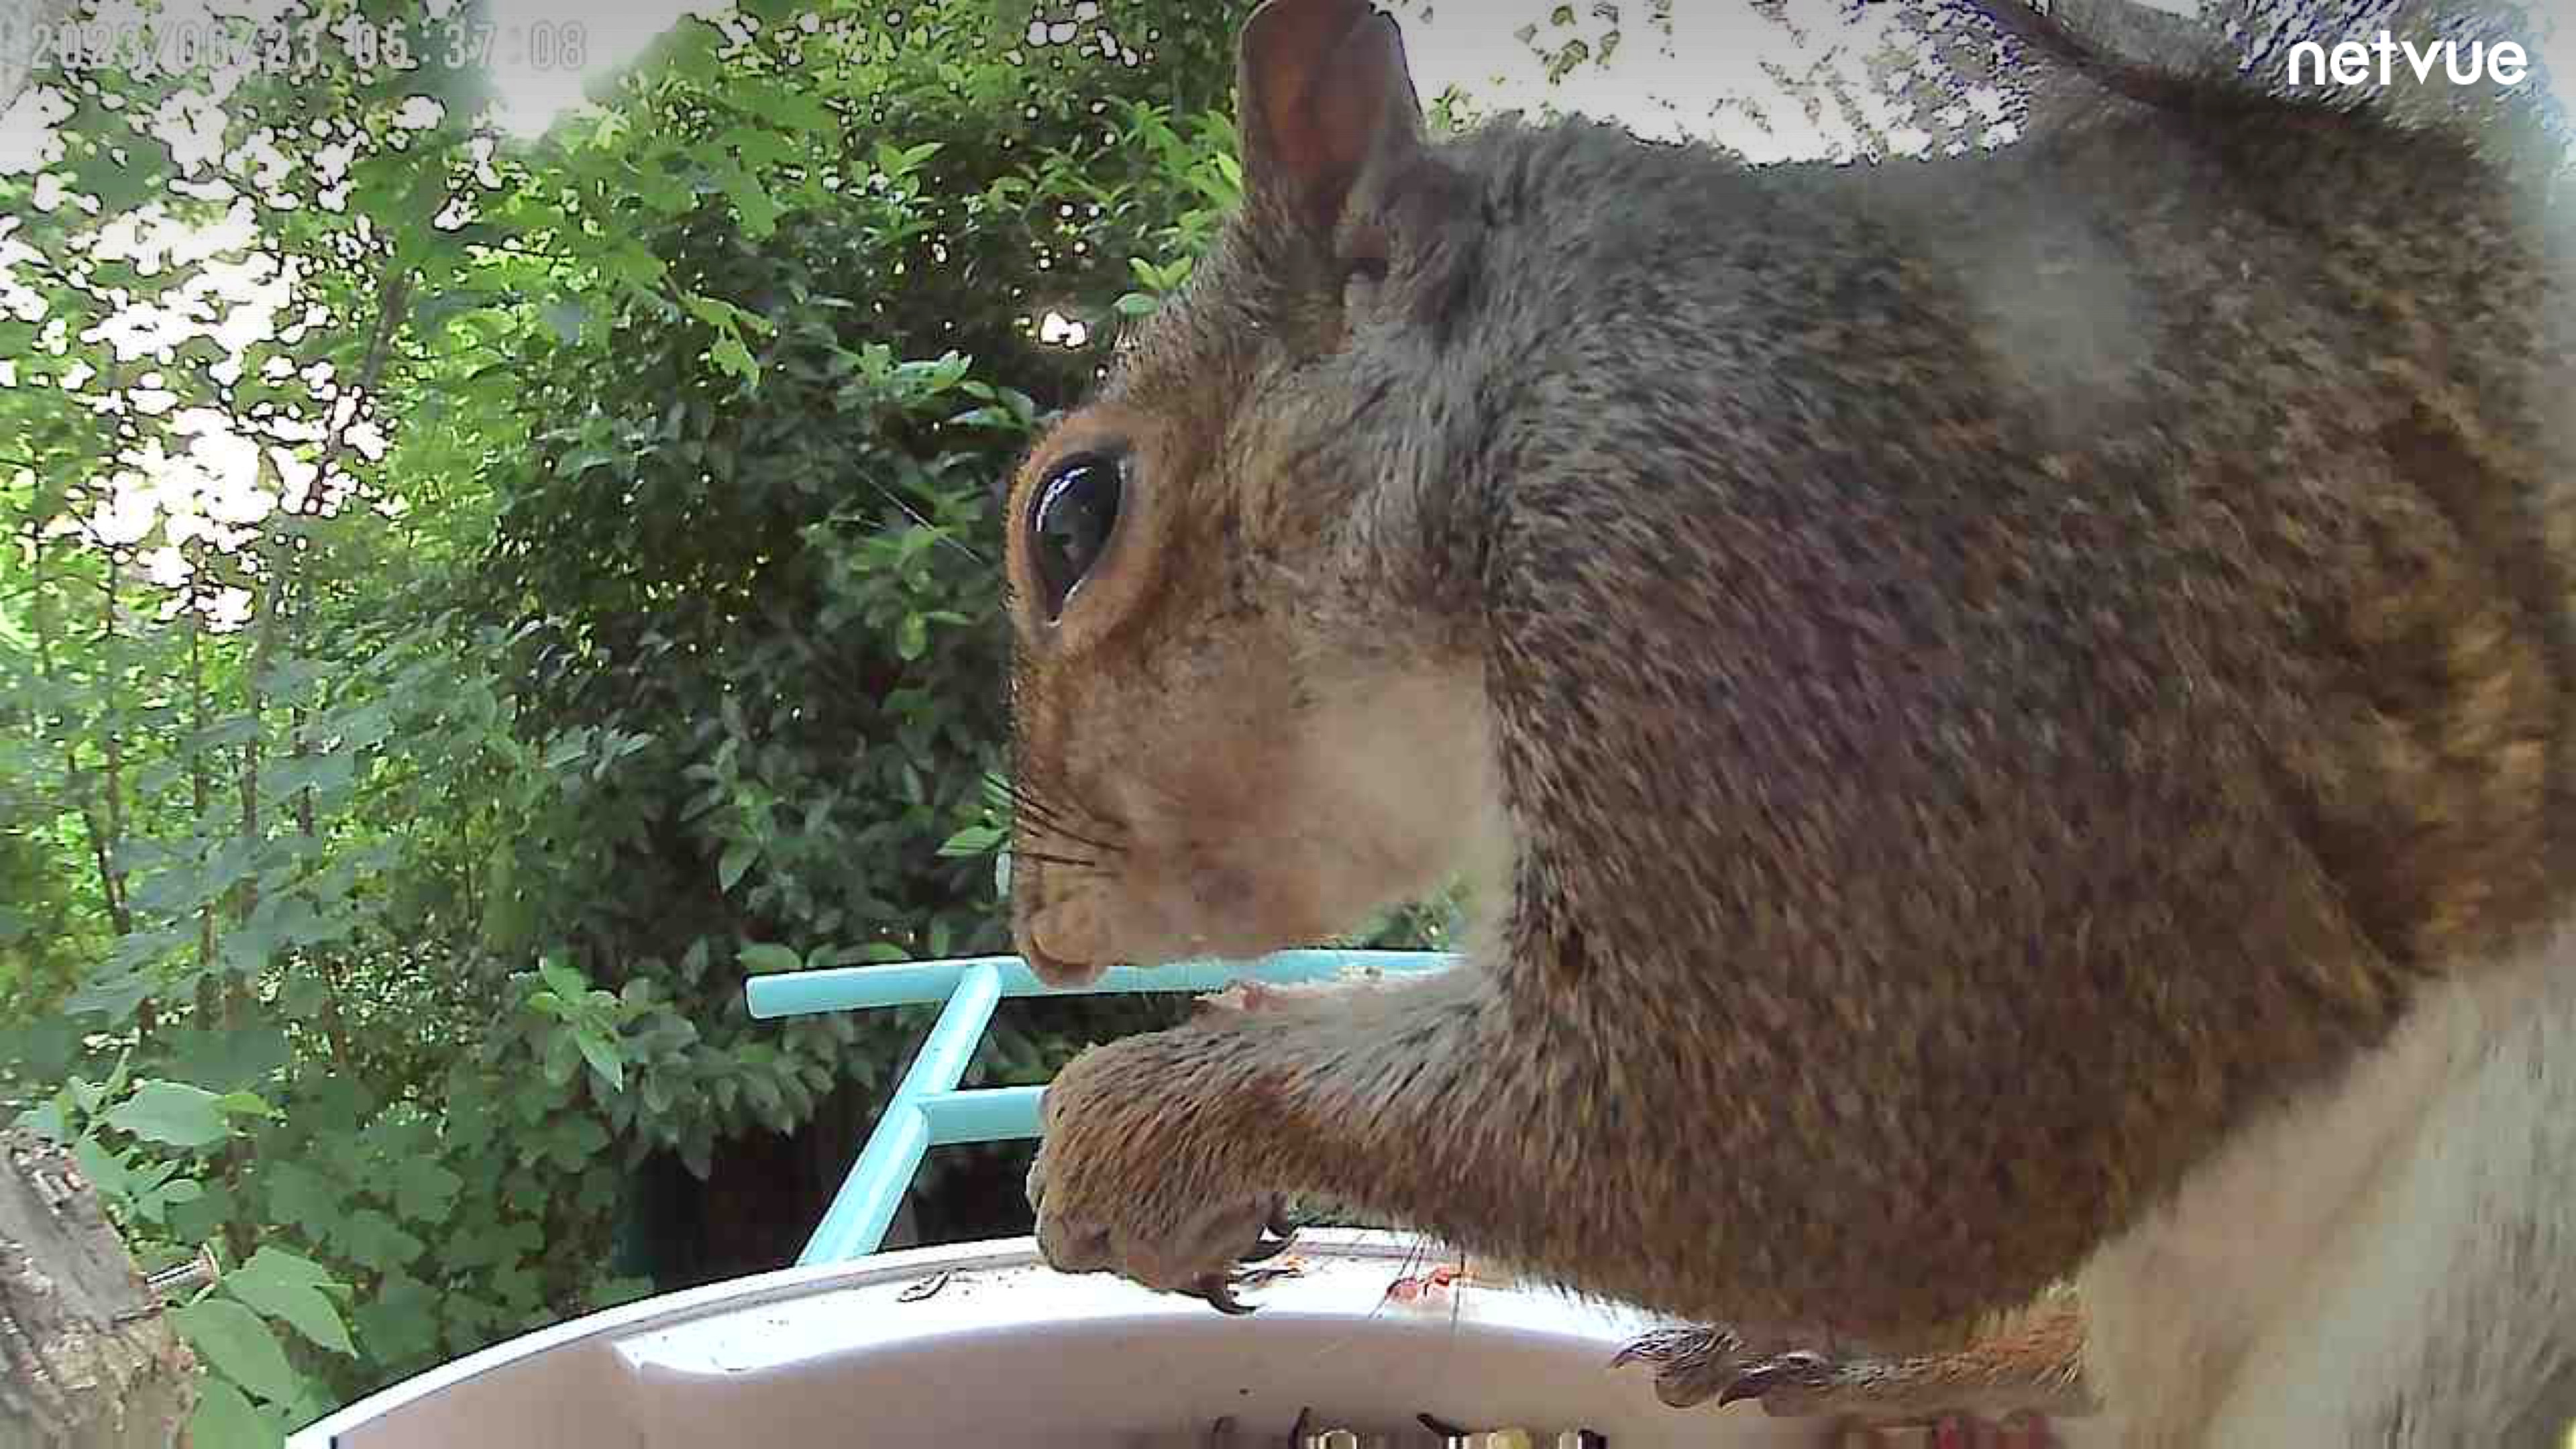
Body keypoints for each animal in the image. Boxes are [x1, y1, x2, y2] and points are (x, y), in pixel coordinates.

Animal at [989, 0, 2576, 1433]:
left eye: (1073, 516)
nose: (1039, 936)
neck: (1534, 369)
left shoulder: (1784, 555)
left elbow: (1791, 1154)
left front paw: (1137, 1128)